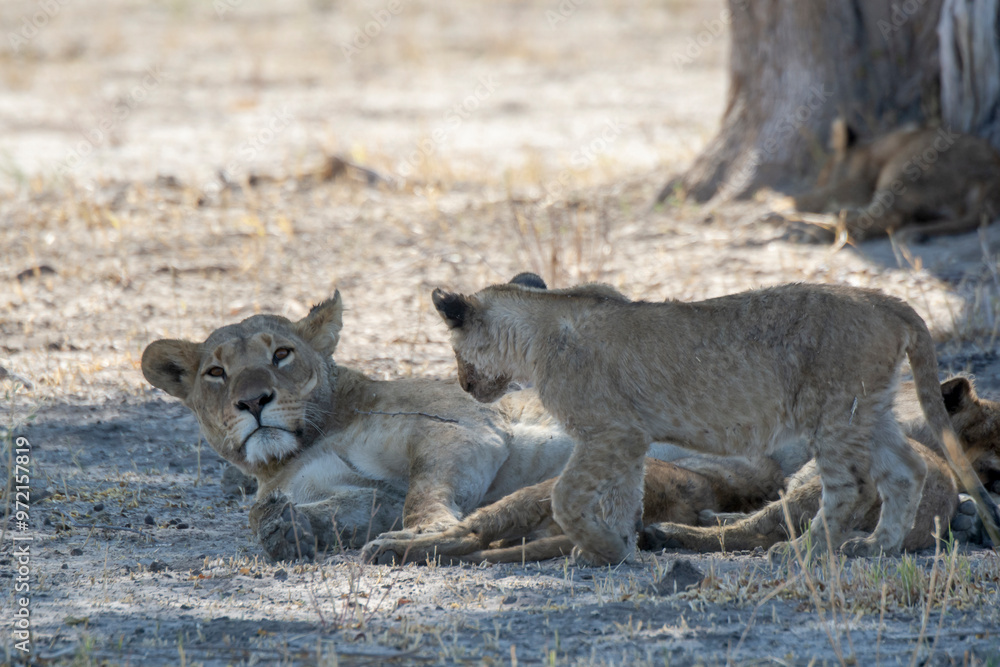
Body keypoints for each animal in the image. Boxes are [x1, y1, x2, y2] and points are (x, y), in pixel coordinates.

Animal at [141, 292, 783, 561]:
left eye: (281, 354)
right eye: (217, 372)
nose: (254, 401)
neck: (306, 442)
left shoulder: (462, 430)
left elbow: (423, 496)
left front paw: (419, 528)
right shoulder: (348, 488)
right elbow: (278, 511)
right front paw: (289, 530)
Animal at [789, 119, 1000, 243]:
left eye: (822, 176)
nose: (819, 181)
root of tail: (992, 172)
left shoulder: (858, 184)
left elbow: (814, 196)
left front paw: (784, 205)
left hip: (904, 165)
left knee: (888, 218)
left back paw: (815, 233)